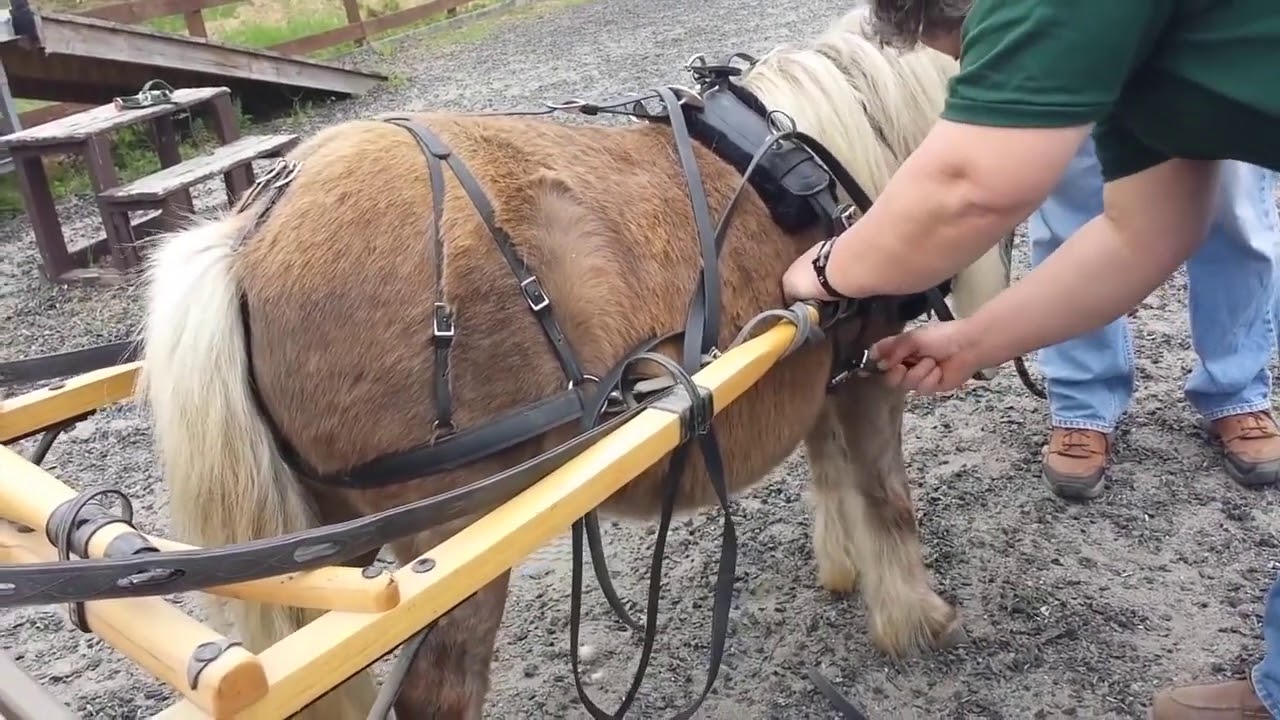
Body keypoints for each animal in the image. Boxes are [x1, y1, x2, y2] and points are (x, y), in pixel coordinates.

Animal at [137, 7, 1013, 719]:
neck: (828, 151)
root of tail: (248, 231)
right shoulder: (867, 373)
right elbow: (886, 500)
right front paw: (915, 619)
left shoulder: (817, 368)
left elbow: (831, 478)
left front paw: (842, 571)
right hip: (449, 546)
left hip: (326, 544)